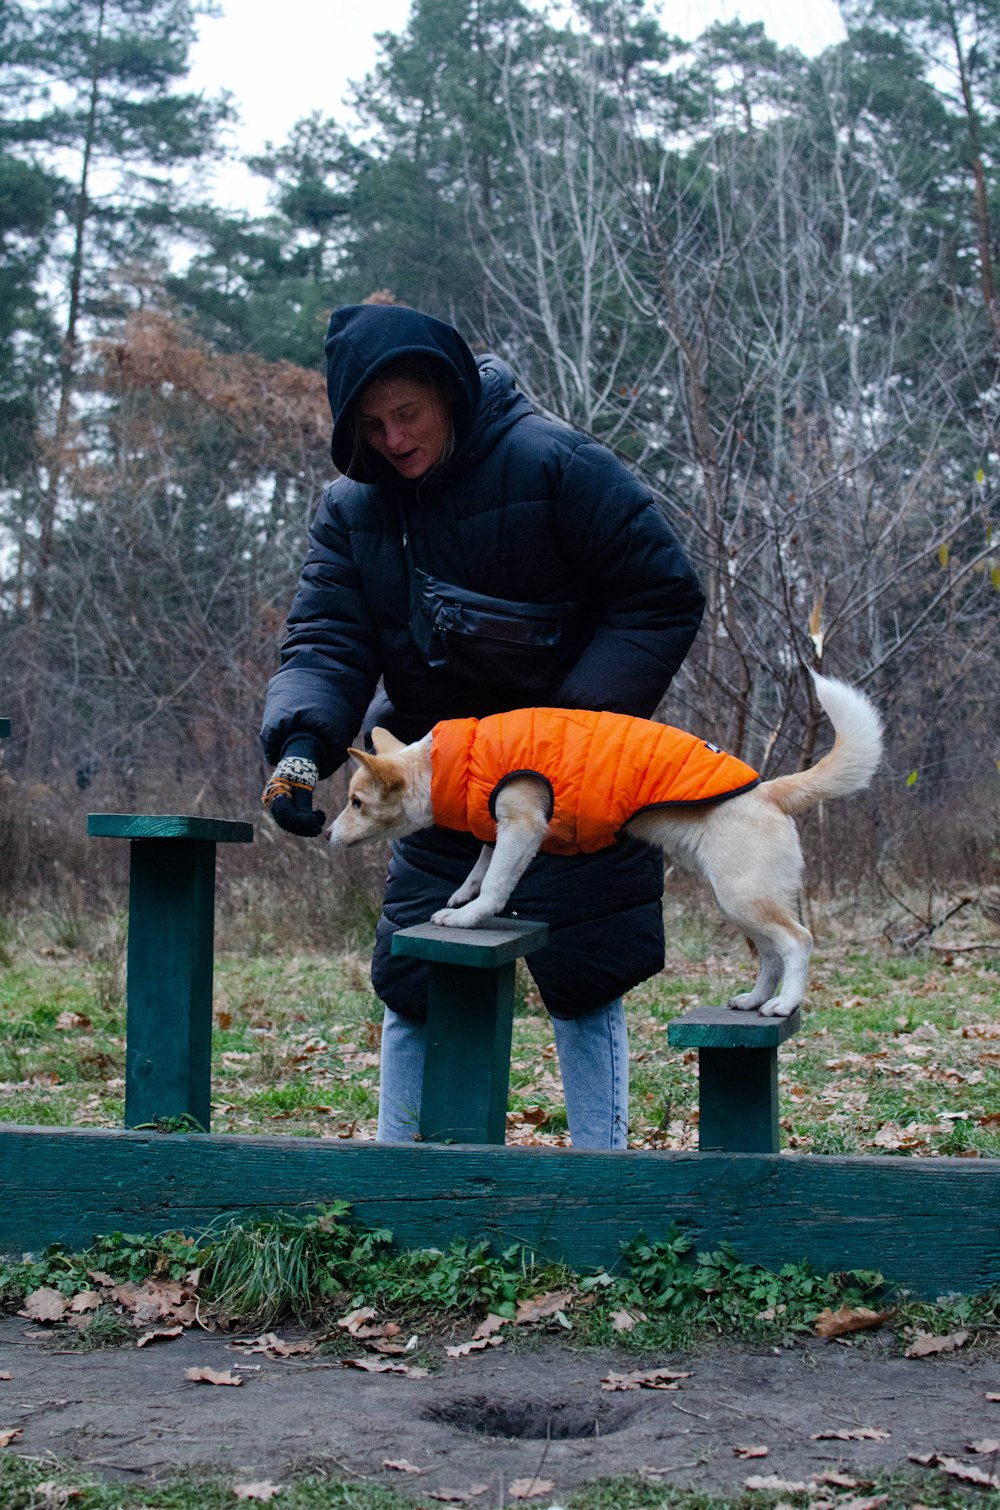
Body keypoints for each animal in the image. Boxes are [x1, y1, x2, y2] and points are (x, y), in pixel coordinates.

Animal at [329, 679, 888, 1020]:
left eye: (356, 802)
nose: (328, 836)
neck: (444, 763)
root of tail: (770, 791)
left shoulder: (523, 826)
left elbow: (497, 883)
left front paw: (469, 917)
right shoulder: (498, 830)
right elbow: (480, 867)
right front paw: (462, 896)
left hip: (745, 898)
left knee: (797, 942)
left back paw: (783, 1005)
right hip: (739, 903)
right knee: (771, 954)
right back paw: (754, 1000)